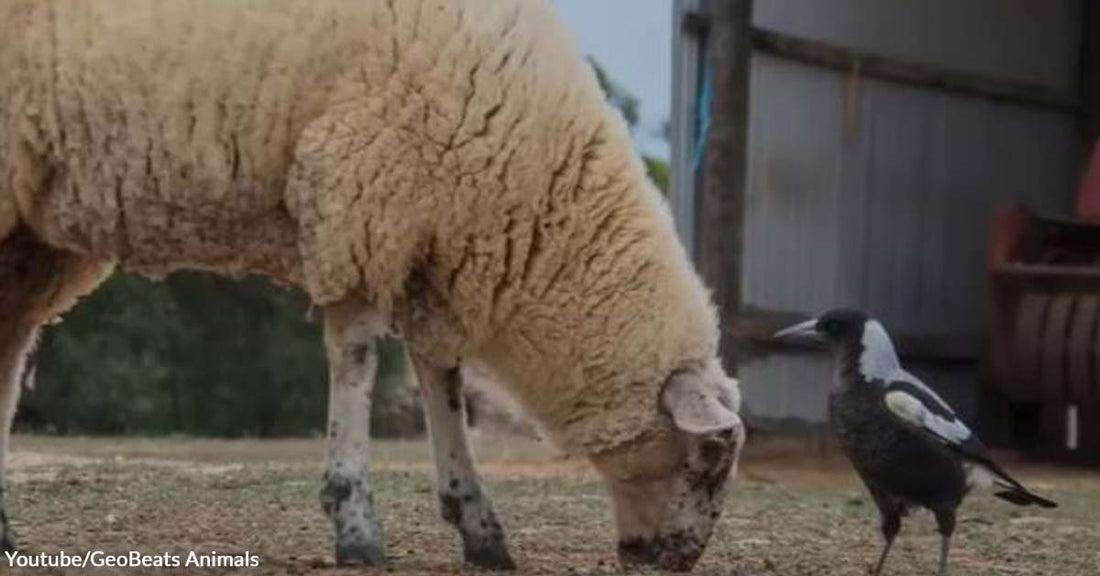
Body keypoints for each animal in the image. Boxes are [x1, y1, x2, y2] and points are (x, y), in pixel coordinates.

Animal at [0, 0, 743, 567]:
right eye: (709, 457)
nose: (679, 561)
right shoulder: (362, 201)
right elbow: (357, 361)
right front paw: (354, 521)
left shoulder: (425, 241)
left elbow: (443, 383)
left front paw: (478, 525)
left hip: (33, 223)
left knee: (10, 340)